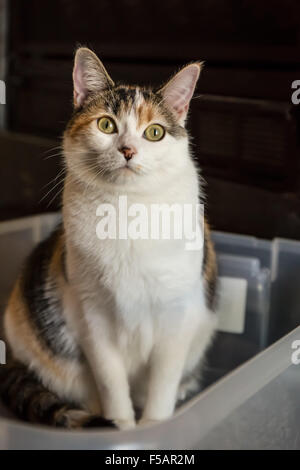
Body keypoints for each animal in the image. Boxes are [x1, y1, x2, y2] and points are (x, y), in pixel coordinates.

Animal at [0, 47, 217, 430]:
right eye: (106, 125)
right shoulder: (92, 316)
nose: (128, 150)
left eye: (155, 132)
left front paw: (154, 427)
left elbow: (163, 382)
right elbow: (111, 382)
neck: (125, 211)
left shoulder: (176, 314)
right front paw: (123, 427)